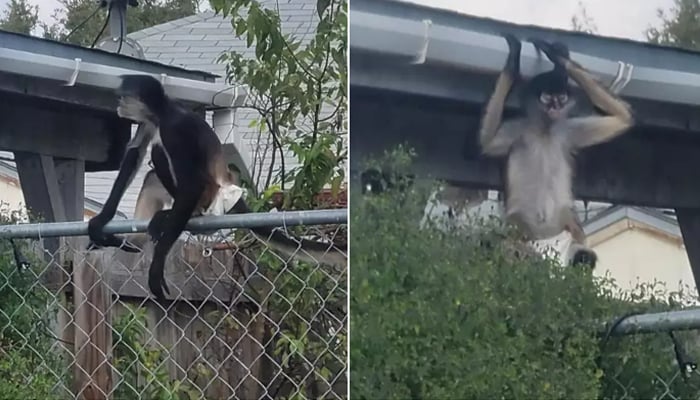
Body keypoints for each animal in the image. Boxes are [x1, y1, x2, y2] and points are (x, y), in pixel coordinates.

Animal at [87, 74, 348, 300]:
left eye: (123, 97)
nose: (118, 105)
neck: (164, 112)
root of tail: (227, 185)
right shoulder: (149, 121)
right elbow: (134, 155)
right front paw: (102, 219)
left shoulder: (174, 129)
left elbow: (190, 184)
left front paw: (157, 265)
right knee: (151, 176)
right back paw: (134, 241)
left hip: (209, 197)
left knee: (161, 155)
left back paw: (180, 216)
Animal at [482, 35, 636, 268]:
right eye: (547, 97)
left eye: (561, 98)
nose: (555, 105)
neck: (545, 130)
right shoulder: (518, 129)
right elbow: (486, 142)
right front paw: (514, 59)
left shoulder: (568, 130)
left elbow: (623, 118)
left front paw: (558, 57)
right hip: (521, 230)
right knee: (505, 244)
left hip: (567, 227)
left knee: (583, 254)